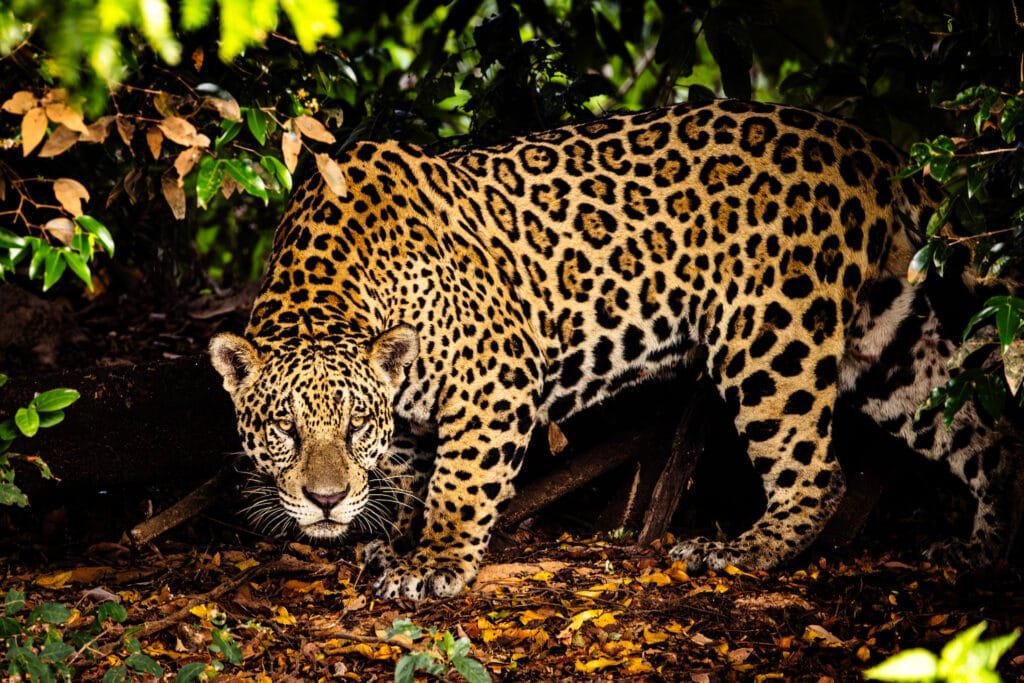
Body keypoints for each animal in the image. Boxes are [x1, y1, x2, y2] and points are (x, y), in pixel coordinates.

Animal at [210, 99, 1016, 601]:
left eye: (351, 427)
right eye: (284, 430)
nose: (324, 500)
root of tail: (870, 146)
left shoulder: (497, 375)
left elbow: (458, 483)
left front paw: (433, 562)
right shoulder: (407, 408)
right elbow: (408, 476)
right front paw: (391, 539)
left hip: (769, 334)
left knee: (818, 472)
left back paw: (738, 551)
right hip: (887, 338)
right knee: (979, 426)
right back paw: (986, 549)